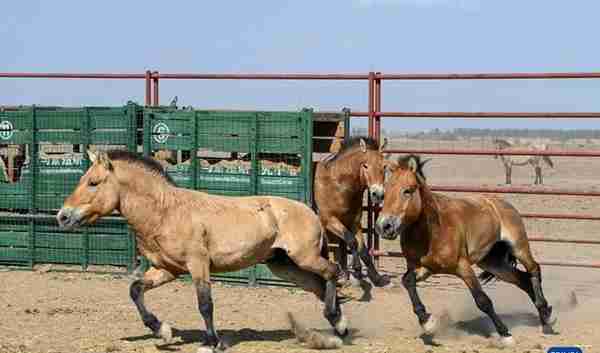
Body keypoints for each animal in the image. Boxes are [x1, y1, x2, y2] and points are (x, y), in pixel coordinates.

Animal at [57, 149, 346, 352]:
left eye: (93, 183)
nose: (62, 216)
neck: (166, 212)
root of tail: (310, 211)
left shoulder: (198, 265)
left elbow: (205, 304)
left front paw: (210, 342)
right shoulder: (167, 270)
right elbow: (135, 289)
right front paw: (162, 330)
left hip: (304, 257)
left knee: (333, 273)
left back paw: (336, 323)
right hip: (285, 266)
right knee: (320, 285)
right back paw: (337, 329)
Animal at [312, 135, 392, 286]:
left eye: (384, 166)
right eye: (365, 165)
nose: (378, 194)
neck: (338, 185)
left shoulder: (354, 222)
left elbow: (364, 250)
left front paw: (376, 277)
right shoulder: (329, 220)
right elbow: (352, 241)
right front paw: (357, 270)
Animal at [378, 155, 556, 346]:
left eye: (407, 191)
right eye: (385, 192)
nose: (384, 226)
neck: (432, 231)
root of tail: (500, 203)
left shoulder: (463, 266)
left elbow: (482, 300)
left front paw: (506, 335)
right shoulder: (426, 268)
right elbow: (407, 281)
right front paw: (427, 322)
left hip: (519, 247)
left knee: (534, 269)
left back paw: (545, 315)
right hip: (492, 263)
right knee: (522, 279)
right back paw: (544, 315)